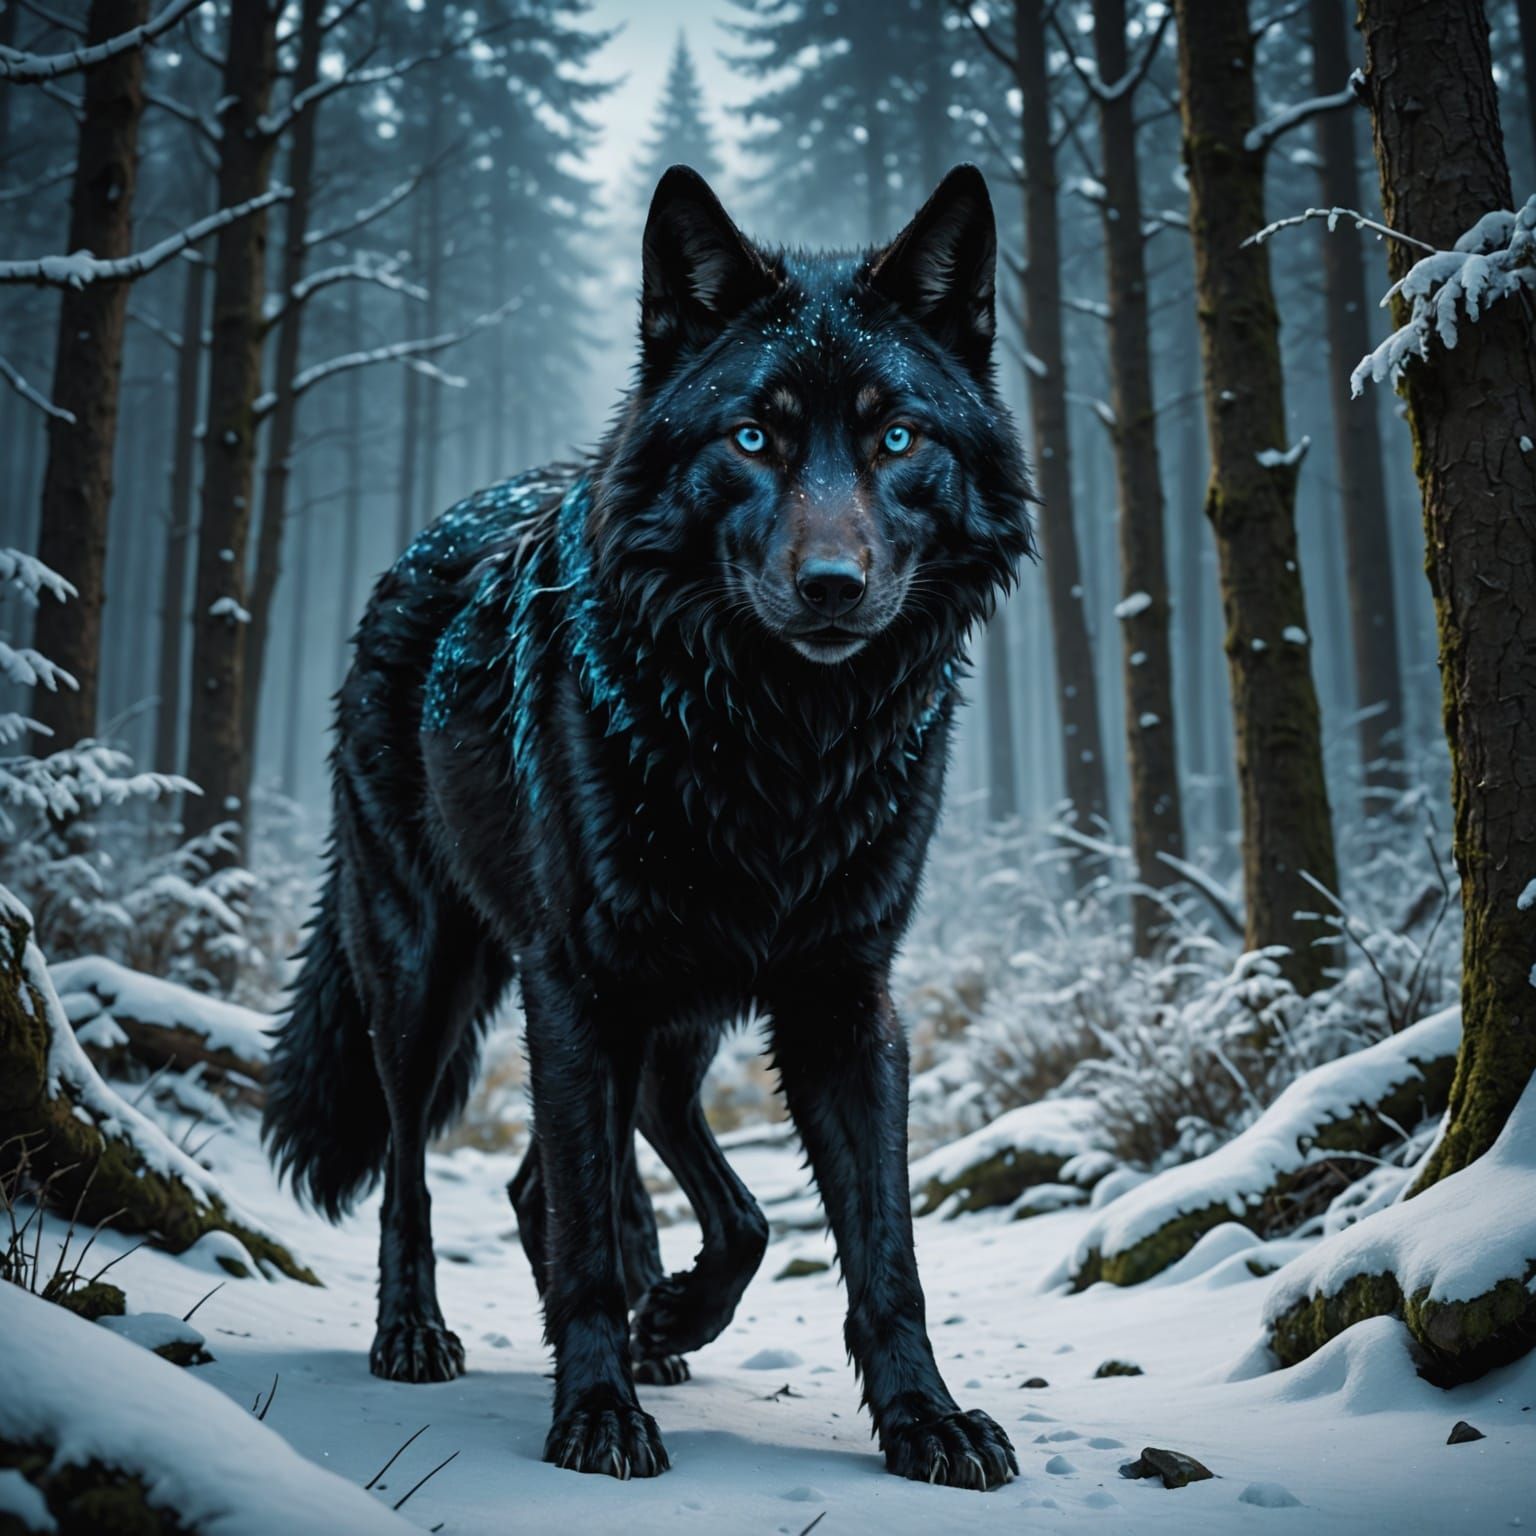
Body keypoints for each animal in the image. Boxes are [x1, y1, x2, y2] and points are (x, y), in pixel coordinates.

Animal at [263, 163, 1034, 1489]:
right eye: (753, 435)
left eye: (895, 436)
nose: (833, 587)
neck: (782, 747)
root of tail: (413, 551)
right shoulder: (575, 987)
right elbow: (584, 1231)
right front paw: (597, 1415)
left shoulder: (843, 997)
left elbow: (881, 1253)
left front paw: (924, 1420)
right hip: (432, 978)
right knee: (420, 1167)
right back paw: (418, 1333)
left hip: (679, 1021)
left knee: (605, 1183)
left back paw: (663, 1324)